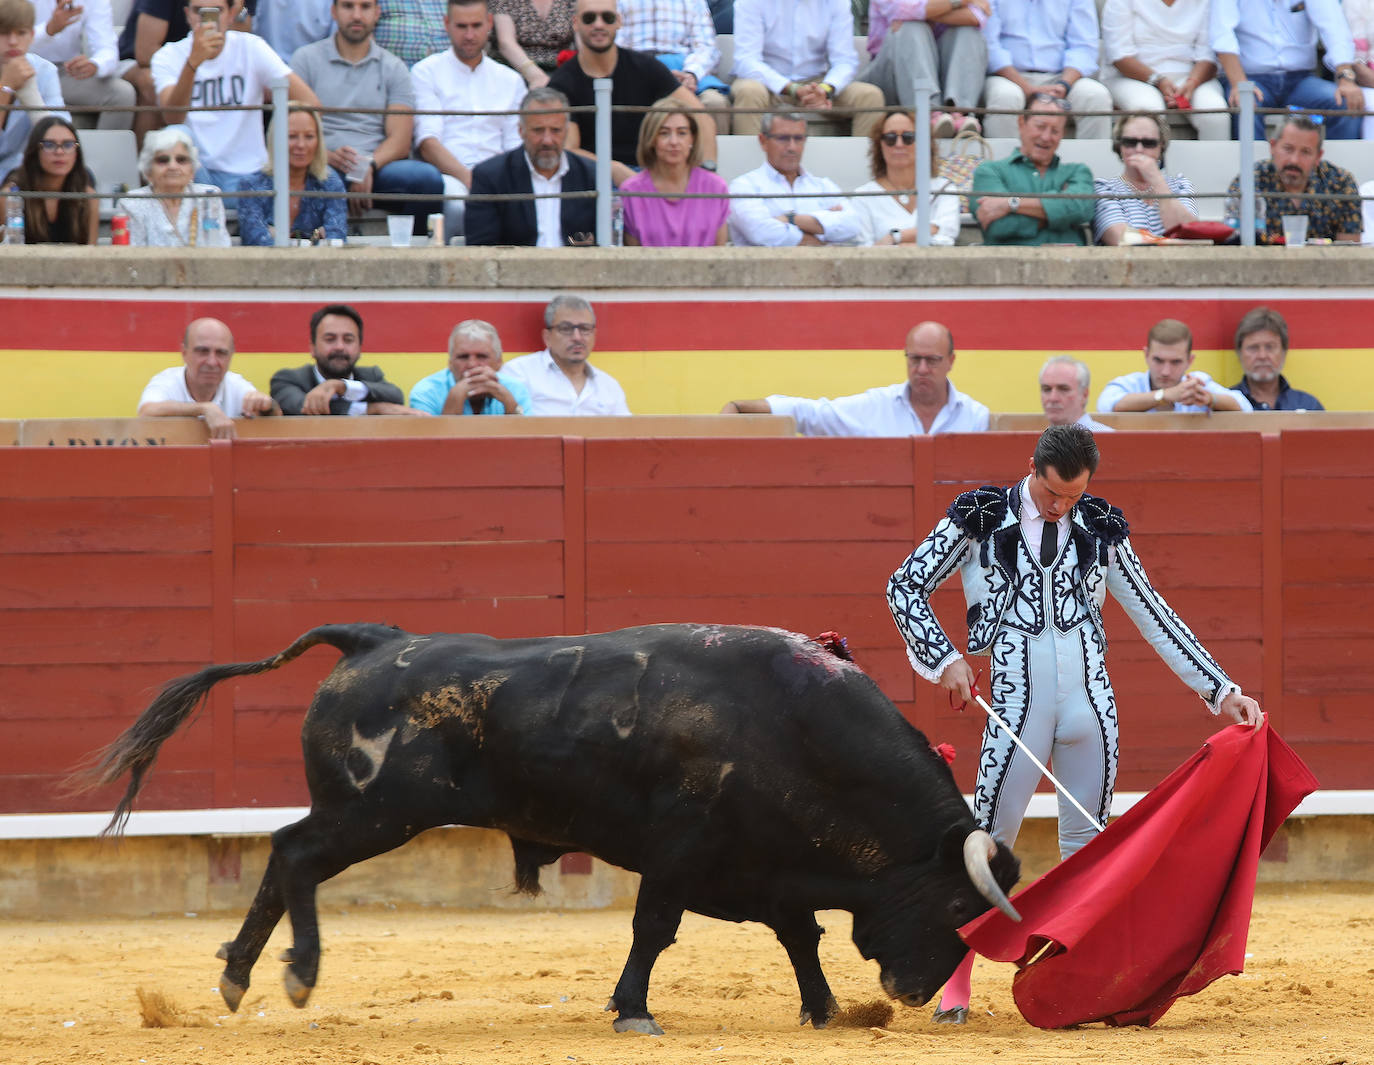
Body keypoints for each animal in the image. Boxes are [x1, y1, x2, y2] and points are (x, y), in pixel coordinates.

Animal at [80, 623, 1016, 1033]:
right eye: (956, 909)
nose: (914, 993)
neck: (794, 726)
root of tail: (373, 639)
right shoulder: (682, 852)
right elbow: (653, 929)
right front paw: (633, 1011)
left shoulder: (768, 864)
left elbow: (799, 936)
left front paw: (826, 1010)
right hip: (376, 812)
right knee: (297, 853)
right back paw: (297, 973)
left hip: (362, 811)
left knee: (281, 854)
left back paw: (238, 975)